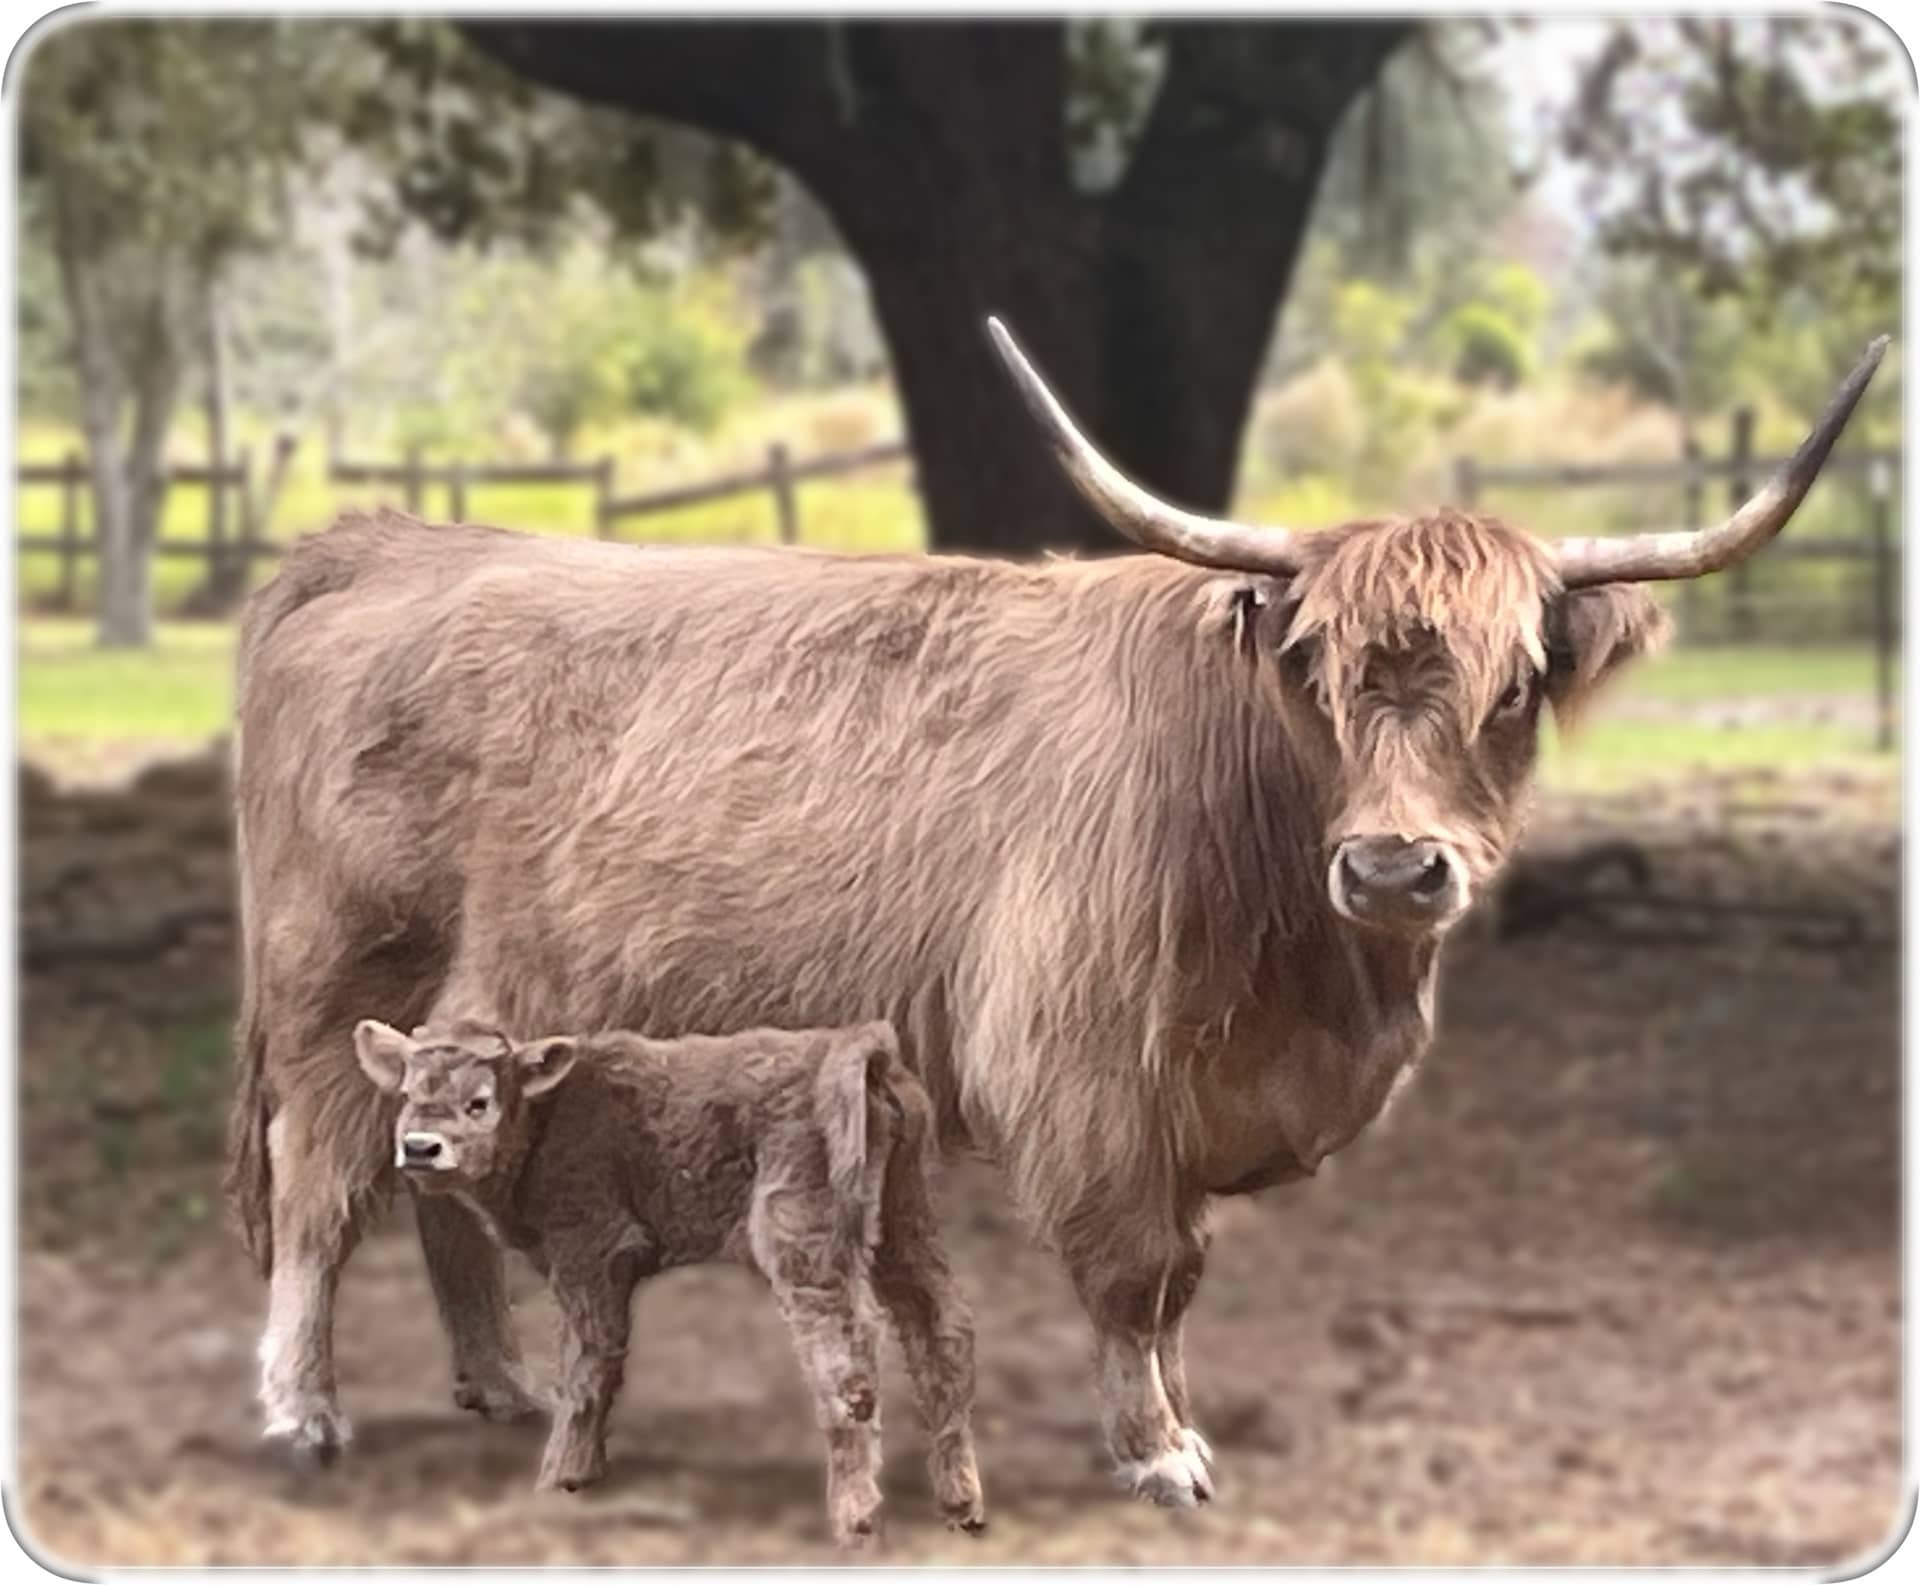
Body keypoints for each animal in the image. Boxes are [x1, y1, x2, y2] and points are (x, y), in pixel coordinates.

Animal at [352, 1016, 983, 1546]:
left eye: (479, 1101)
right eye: (407, 1094)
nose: (419, 1148)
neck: (547, 1114)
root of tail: (854, 1046)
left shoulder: (591, 1252)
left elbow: (586, 1366)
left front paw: (560, 1478)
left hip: (805, 1247)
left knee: (847, 1365)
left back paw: (857, 1519)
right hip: (904, 1226)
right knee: (941, 1335)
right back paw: (961, 1505)